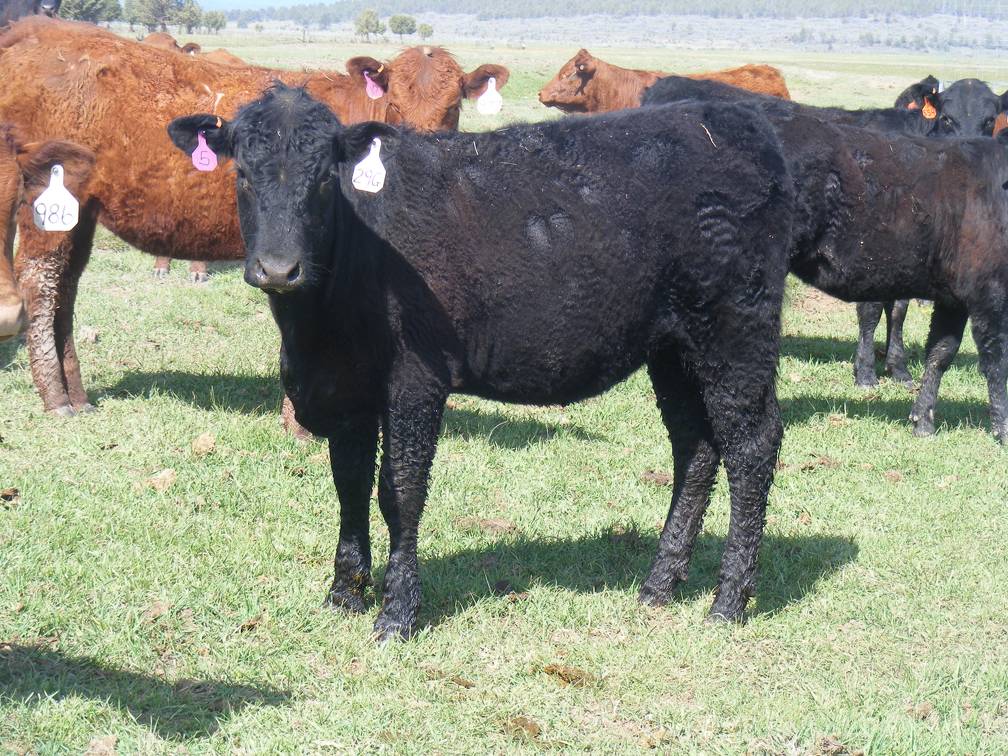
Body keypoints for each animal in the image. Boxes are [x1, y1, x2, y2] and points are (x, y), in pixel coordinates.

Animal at [171, 85, 794, 641]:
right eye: (242, 174)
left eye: (325, 179)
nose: (279, 268)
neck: (316, 333)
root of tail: (736, 120)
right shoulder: (347, 389)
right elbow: (348, 483)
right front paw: (345, 593)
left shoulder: (416, 379)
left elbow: (399, 489)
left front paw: (397, 613)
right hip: (671, 348)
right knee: (695, 449)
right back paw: (659, 585)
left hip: (736, 329)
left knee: (751, 445)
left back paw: (728, 601)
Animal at [645, 77, 1008, 443]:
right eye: (946, 118)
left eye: (990, 120)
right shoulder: (987, 291)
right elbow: (995, 358)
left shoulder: (952, 291)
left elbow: (938, 349)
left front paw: (919, 413)